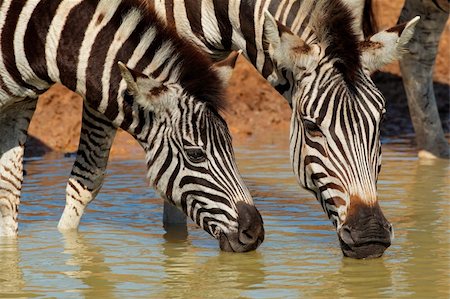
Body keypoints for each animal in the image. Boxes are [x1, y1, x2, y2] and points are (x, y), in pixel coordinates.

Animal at [0, 0, 264, 253]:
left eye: (231, 144)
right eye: (196, 154)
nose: (254, 232)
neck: (39, 33)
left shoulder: (21, 104)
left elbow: (9, 187)